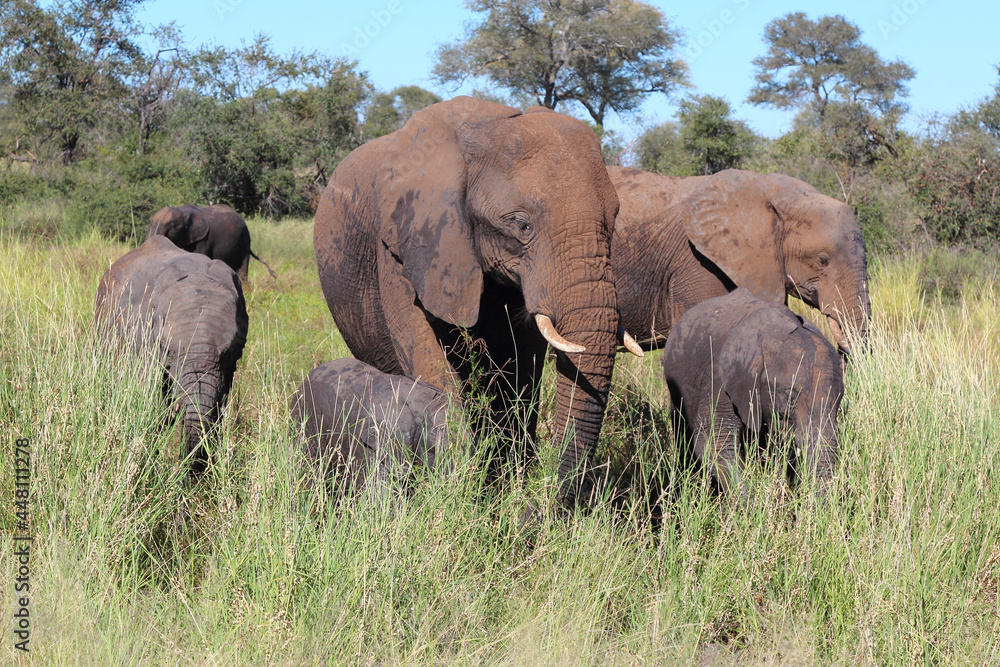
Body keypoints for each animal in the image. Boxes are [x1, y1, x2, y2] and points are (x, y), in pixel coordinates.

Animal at [314, 96, 640, 508]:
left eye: (613, 220)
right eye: (521, 225)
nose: (537, 507)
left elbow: (522, 367)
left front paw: (506, 483)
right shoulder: (400, 245)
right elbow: (427, 355)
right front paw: (456, 487)